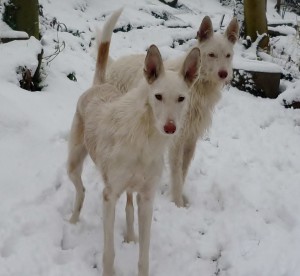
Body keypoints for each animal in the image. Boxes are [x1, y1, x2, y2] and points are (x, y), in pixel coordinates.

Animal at [67, 8, 200, 276]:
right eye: (158, 96)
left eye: (181, 98)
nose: (170, 128)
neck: (145, 140)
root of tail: (100, 85)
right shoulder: (109, 196)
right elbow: (109, 253)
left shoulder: (147, 198)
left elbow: (144, 255)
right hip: (73, 162)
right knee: (81, 190)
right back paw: (74, 221)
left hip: (130, 189)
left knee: (128, 208)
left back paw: (129, 236)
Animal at [106, 14, 240, 206]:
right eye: (211, 54)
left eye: (228, 55)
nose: (224, 74)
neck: (199, 87)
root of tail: (115, 63)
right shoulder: (177, 139)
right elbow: (176, 173)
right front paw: (177, 202)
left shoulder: (191, 139)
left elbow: (183, 171)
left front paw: (181, 197)